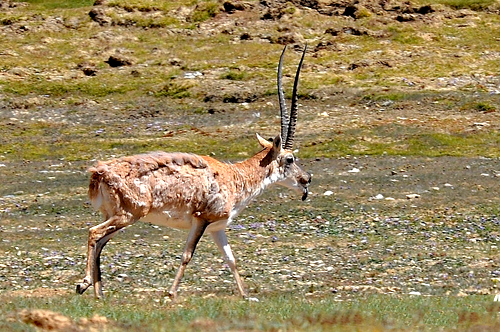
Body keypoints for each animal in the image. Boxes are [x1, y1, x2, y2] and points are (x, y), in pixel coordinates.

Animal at [76, 44, 310, 300]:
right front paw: (171, 293)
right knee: (94, 233)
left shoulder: (217, 228)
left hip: (115, 216)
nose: (306, 179)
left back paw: (98, 293)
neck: (234, 177)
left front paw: (246, 294)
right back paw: (83, 284)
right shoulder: (201, 220)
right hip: (128, 215)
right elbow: (188, 255)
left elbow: (231, 259)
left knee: (101, 242)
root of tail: (99, 172)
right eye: (290, 159)